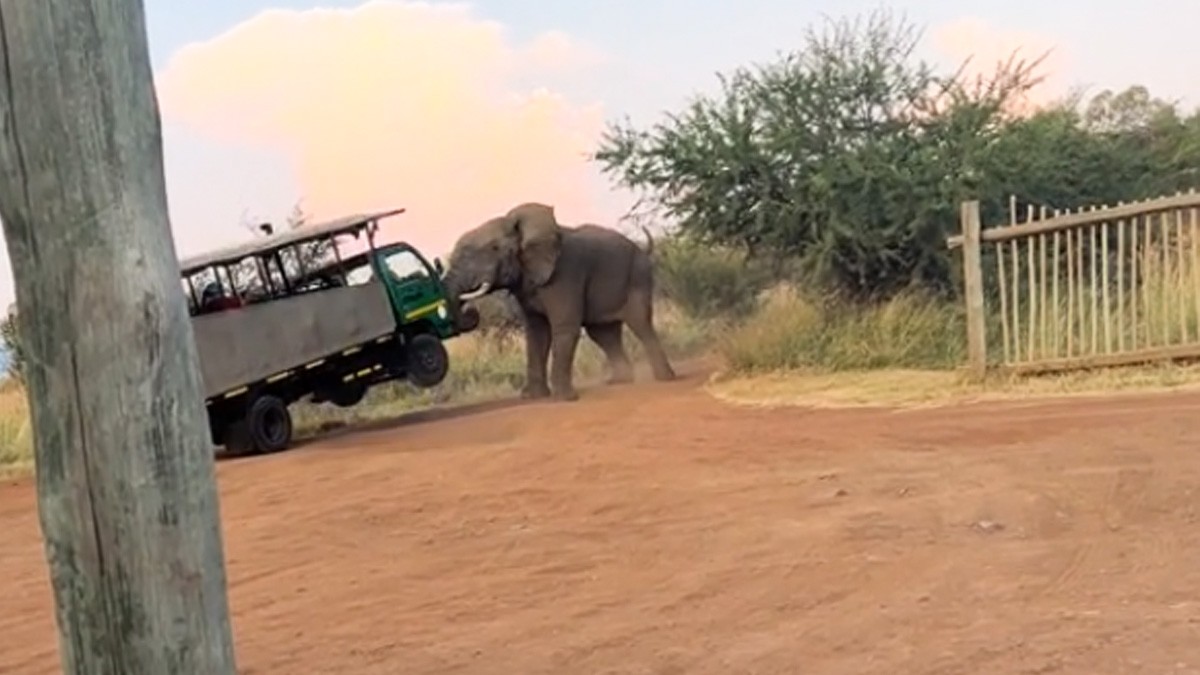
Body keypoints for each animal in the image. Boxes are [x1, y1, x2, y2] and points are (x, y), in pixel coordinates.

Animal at [441, 202, 677, 401]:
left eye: (493, 249)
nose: (471, 310)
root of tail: (643, 248)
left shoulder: (565, 273)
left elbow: (564, 327)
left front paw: (564, 398)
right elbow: (537, 333)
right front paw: (534, 397)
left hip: (638, 276)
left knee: (640, 324)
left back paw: (665, 378)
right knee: (603, 334)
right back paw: (619, 381)